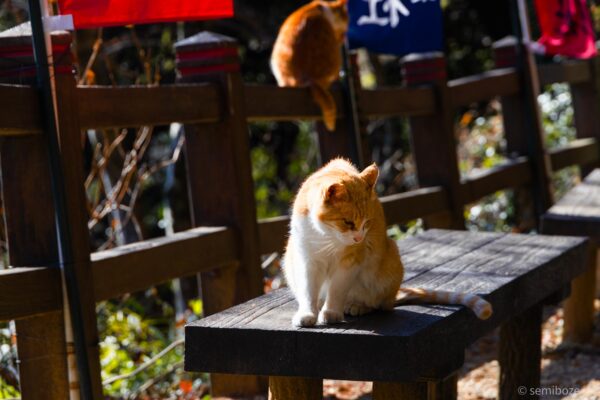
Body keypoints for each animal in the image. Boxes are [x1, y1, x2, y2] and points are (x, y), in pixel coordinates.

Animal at [282, 158, 492, 326]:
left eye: (367, 222)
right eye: (348, 223)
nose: (359, 238)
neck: (326, 237)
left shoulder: (350, 262)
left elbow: (337, 290)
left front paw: (331, 312)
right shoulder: (307, 261)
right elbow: (308, 291)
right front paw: (308, 313)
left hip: (388, 258)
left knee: (380, 303)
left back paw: (357, 306)